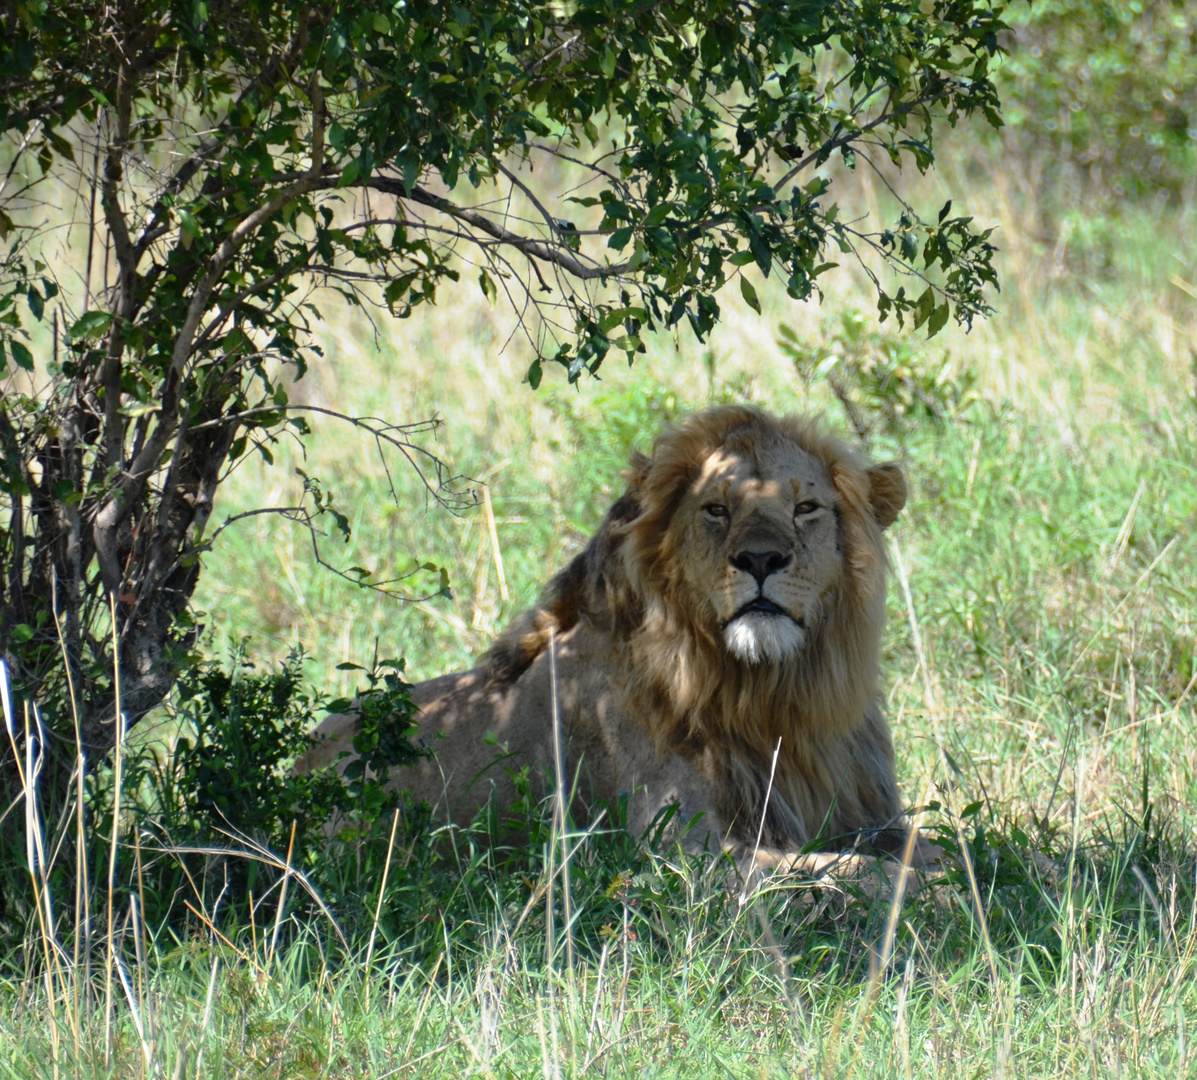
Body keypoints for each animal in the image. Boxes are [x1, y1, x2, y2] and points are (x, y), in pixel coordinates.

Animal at [301, 407, 933, 881]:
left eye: (806, 508)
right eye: (716, 509)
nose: (760, 559)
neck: (772, 696)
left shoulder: (874, 816)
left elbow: (929, 849)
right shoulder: (686, 847)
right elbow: (859, 871)